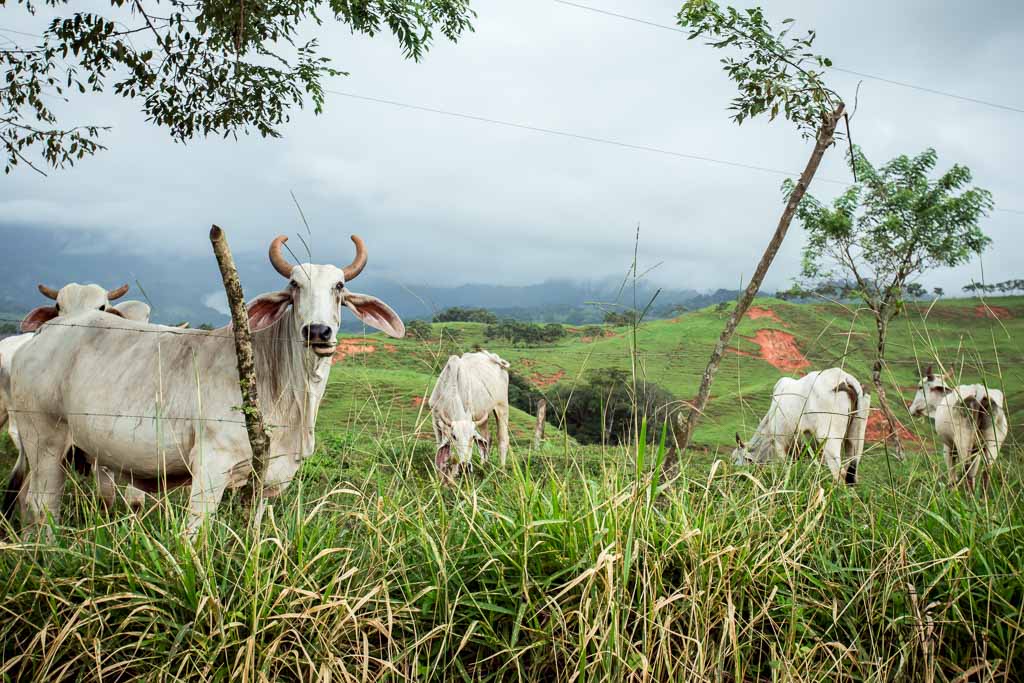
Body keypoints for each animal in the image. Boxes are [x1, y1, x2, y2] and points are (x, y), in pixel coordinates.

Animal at [5, 234, 404, 536]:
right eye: (294, 285)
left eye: (340, 286)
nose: (318, 331)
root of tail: (41, 335)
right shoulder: (211, 467)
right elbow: (194, 534)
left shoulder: (260, 482)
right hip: (44, 440)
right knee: (41, 505)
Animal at [429, 351, 511, 479]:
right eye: (454, 436)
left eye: (472, 437)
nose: (465, 466)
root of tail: (494, 357)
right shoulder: (435, 419)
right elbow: (441, 449)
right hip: (484, 417)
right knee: (487, 438)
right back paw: (483, 466)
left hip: (502, 407)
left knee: (503, 439)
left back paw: (502, 471)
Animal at [731, 367, 871, 484]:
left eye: (737, 458)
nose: (734, 476)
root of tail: (844, 377)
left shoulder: (780, 444)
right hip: (855, 440)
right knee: (851, 475)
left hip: (830, 441)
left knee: (840, 475)